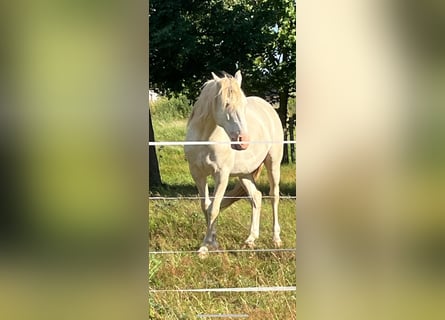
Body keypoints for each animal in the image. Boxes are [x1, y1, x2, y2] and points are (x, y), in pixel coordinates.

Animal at [185, 71, 282, 256]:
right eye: (226, 104)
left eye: (243, 105)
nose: (243, 141)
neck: (205, 138)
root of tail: (268, 107)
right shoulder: (197, 174)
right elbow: (206, 207)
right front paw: (210, 244)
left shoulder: (221, 175)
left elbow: (214, 208)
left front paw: (207, 245)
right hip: (244, 174)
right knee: (256, 197)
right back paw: (250, 240)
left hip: (273, 163)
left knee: (274, 196)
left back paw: (276, 240)